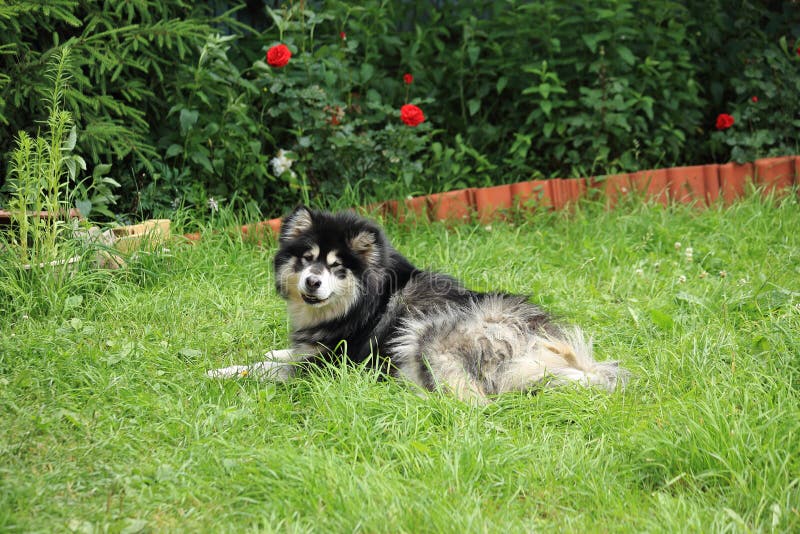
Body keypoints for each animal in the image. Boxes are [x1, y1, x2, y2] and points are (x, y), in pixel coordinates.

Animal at [205, 207, 624, 404]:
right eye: (307, 259)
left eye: (338, 268)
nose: (312, 282)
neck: (360, 303)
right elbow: (283, 352)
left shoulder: (324, 367)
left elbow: (262, 369)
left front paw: (220, 372)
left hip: (427, 334)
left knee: (473, 402)